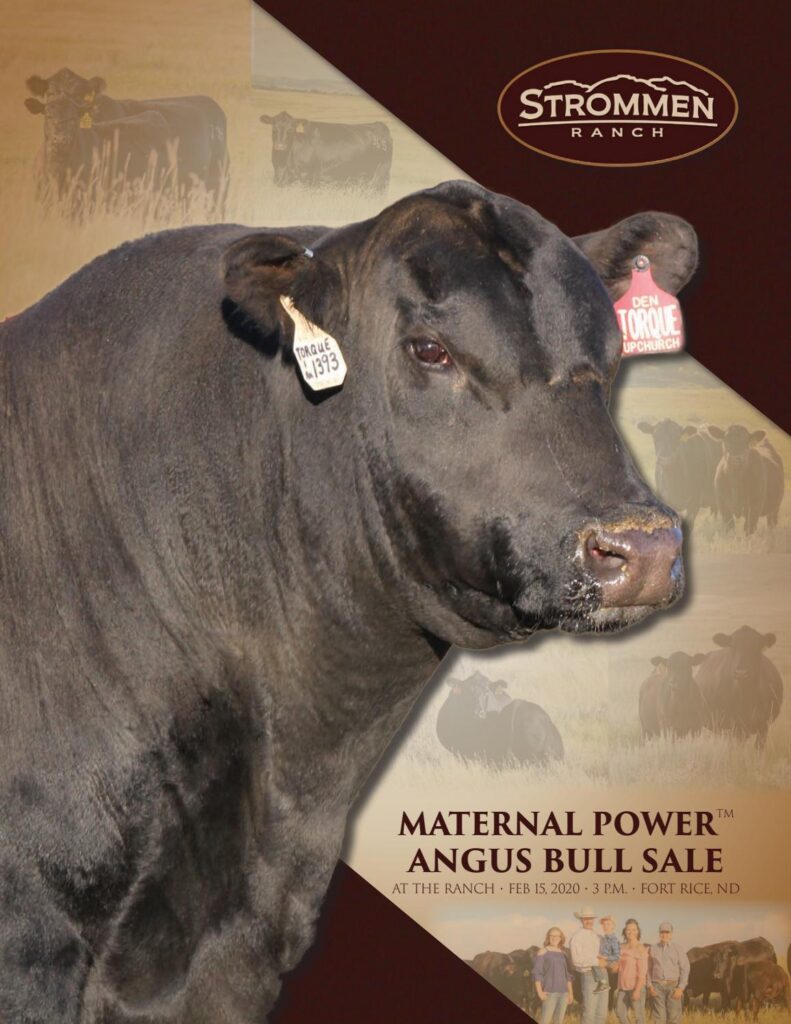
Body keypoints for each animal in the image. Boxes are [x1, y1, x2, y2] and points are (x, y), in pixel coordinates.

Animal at [259, 110, 392, 192]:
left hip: (381, 174)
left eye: (291, 128)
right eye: (274, 127)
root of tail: (378, 124)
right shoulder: (279, 177)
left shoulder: (312, 177)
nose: (280, 146)